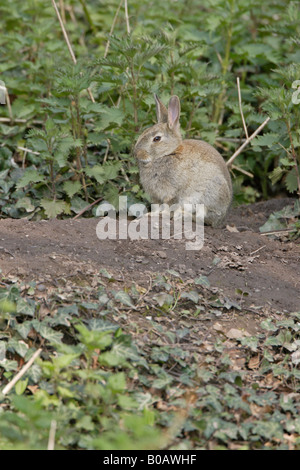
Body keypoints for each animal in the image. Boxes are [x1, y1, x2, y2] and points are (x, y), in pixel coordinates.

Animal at [133, 94, 232, 228]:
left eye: (157, 138)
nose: (136, 153)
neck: (167, 154)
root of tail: (222, 219)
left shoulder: (173, 193)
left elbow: (168, 206)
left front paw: (161, 216)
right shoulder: (155, 196)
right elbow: (156, 207)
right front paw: (151, 215)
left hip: (208, 196)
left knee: (202, 218)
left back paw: (182, 216)